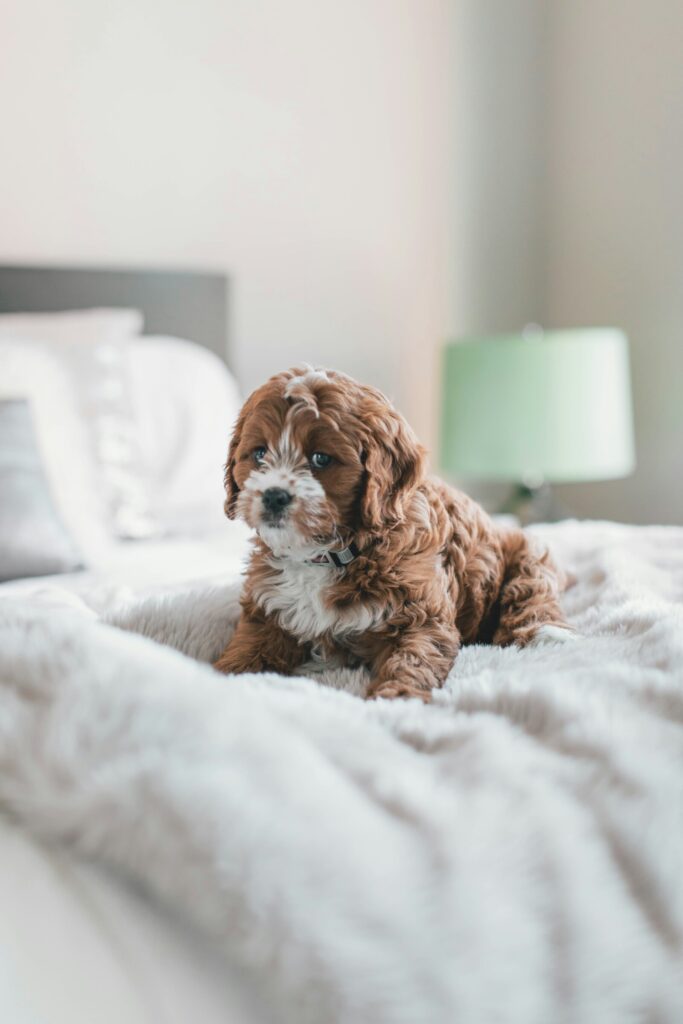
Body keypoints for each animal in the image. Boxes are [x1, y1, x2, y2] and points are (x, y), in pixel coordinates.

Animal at [214, 364, 573, 700]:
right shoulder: (268, 611)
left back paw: (546, 635)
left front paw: (396, 698)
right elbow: (248, 649)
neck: (328, 553)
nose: (274, 496)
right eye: (259, 453)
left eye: (320, 458)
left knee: (531, 592)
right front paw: (219, 677)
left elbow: (413, 659)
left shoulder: (420, 614)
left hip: (527, 553)